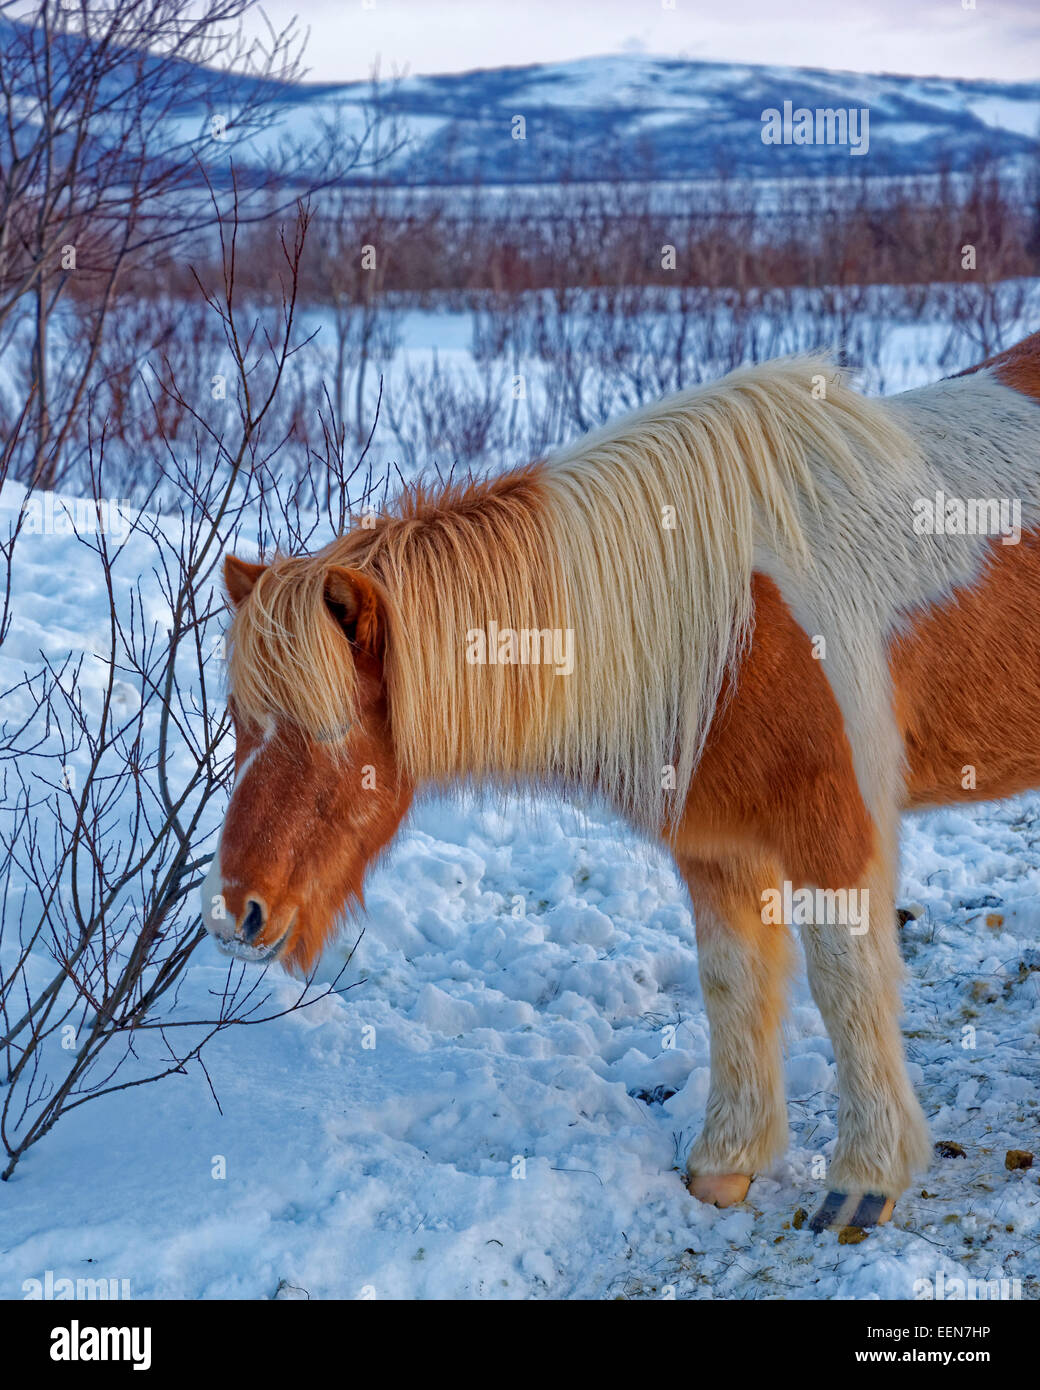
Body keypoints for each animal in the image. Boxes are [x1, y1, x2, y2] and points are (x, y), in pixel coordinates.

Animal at [198, 330, 1040, 1234]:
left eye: (330, 733)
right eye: (242, 722)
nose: (238, 913)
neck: (735, 618)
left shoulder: (836, 828)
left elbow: (848, 987)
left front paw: (865, 1179)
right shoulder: (718, 843)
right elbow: (732, 984)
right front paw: (726, 1164)